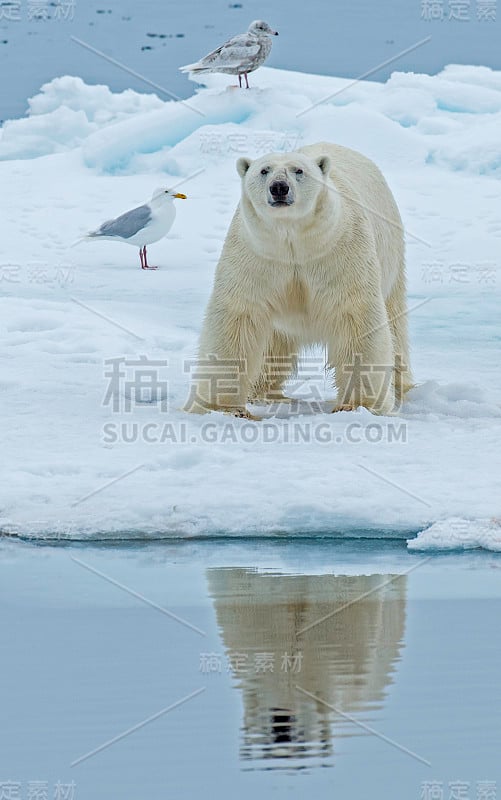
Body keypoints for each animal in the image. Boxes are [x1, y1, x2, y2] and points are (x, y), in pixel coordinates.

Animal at [186, 143, 412, 416]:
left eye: (299, 170)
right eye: (264, 170)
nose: (279, 187)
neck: (292, 238)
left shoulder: (339, 251)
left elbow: (355, 316)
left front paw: (358, 406)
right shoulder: (257, 255)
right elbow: (239, 316)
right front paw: (223, 408)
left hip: (392, 256)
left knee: (395, 325)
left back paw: (401, 387)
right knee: (273, 344)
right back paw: (262, 392)